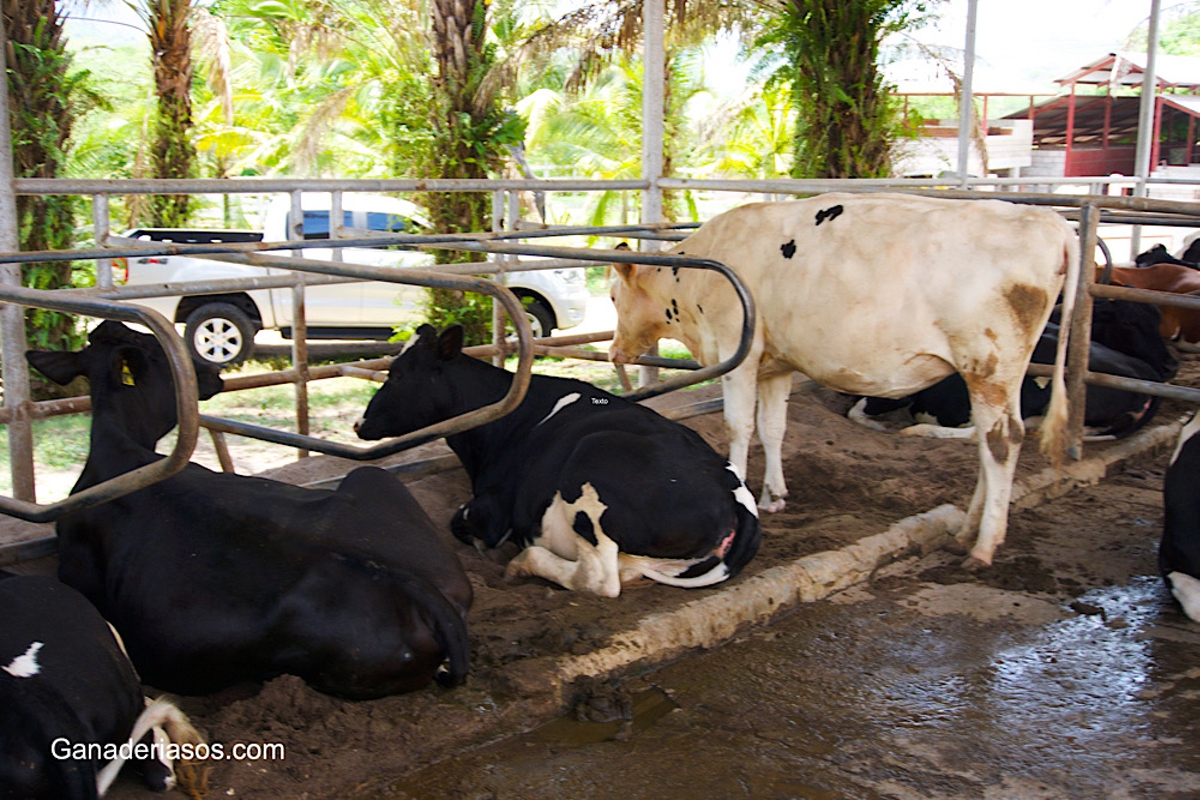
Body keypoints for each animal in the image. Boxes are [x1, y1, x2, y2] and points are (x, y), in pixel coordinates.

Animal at [350, 321, 758, 597]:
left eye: (396, 375)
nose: (357, 423)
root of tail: (733, 497)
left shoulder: (494, 508)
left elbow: (462, 522)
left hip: (592, 462)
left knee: (598, 578)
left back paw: (523, 565)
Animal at [609, 193, 1080, 566]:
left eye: (613, 296)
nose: (613, 351)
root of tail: (1046, 219)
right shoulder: (777, 363)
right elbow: (773, 428)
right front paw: (774, 496)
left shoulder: (735, 353)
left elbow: (739, 427)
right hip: (996, 373)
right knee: (990, 440)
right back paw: (967, 531)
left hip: (988, 364)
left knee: (1002, 442)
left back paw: (983, 546)